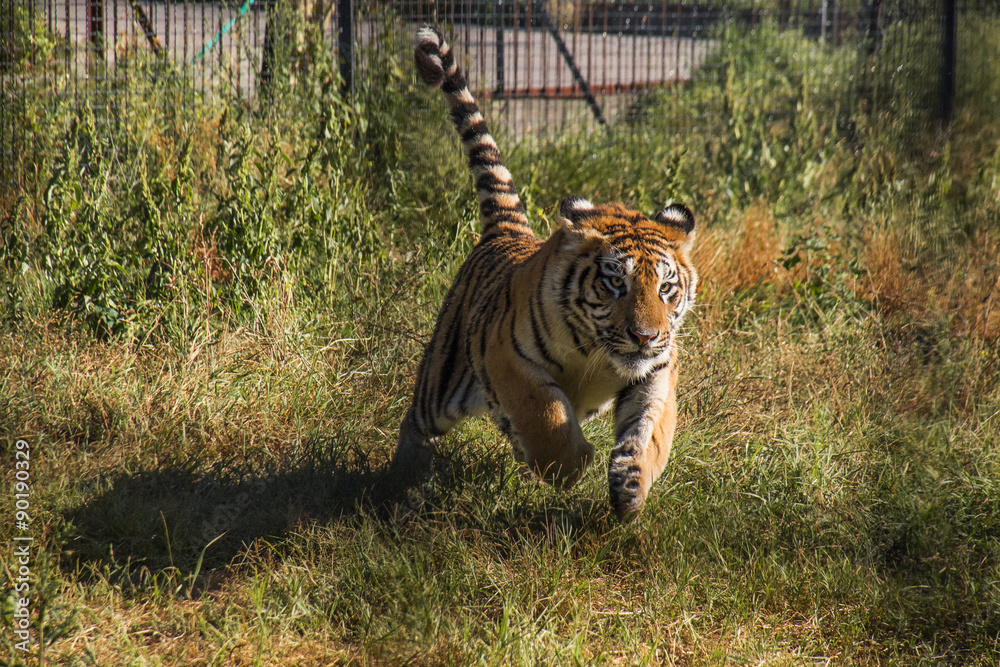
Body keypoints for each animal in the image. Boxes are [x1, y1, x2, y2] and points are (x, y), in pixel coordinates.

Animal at [389, 25, 698, 519]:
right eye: (617, 282)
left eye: (666, 287)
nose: (644, 336)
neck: (597, 353)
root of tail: (506, 229)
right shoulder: (509, 359)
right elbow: (546, 414)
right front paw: (570, 468)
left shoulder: (656, 370)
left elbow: (650, 430)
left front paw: (631, 488)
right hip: (443, 382)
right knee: (418, 423)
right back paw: (403, 481)